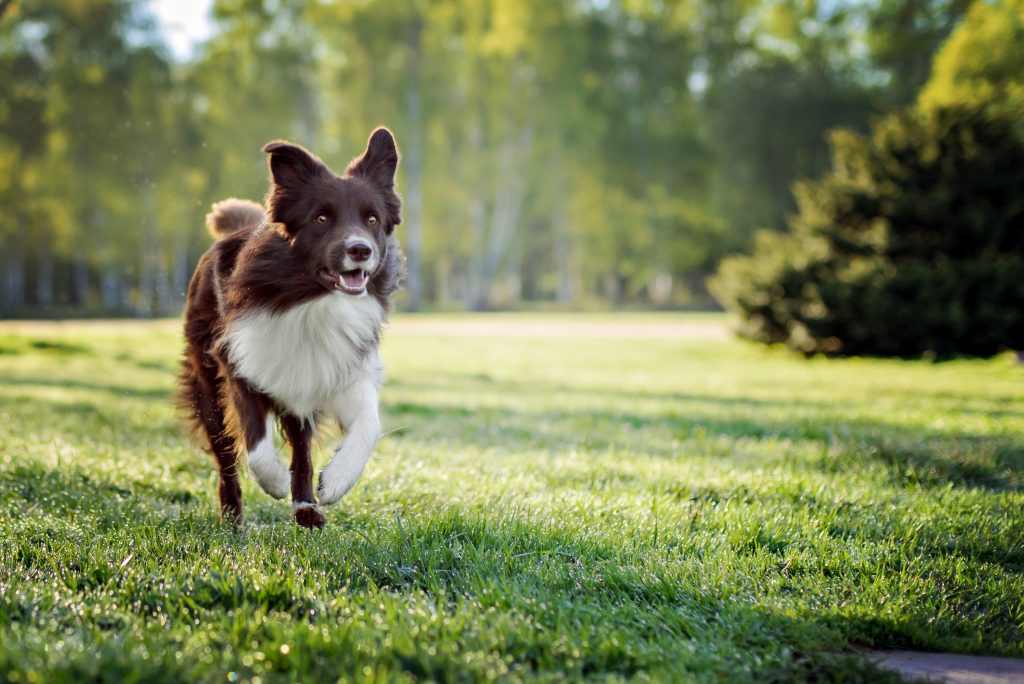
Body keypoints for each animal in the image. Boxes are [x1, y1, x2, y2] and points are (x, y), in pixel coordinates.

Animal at [180, 127, 403, 528]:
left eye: (372, 219)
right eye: (322, 218)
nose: (361, 250)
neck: (313, 301)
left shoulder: (344, 368)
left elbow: (369, 424)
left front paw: (336, 481)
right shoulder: (241, 361)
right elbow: (255, 441)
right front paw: (272, 480)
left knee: (301, 447)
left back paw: (306, 506)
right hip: (208, 383)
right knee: (225, 455)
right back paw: (233, 518)